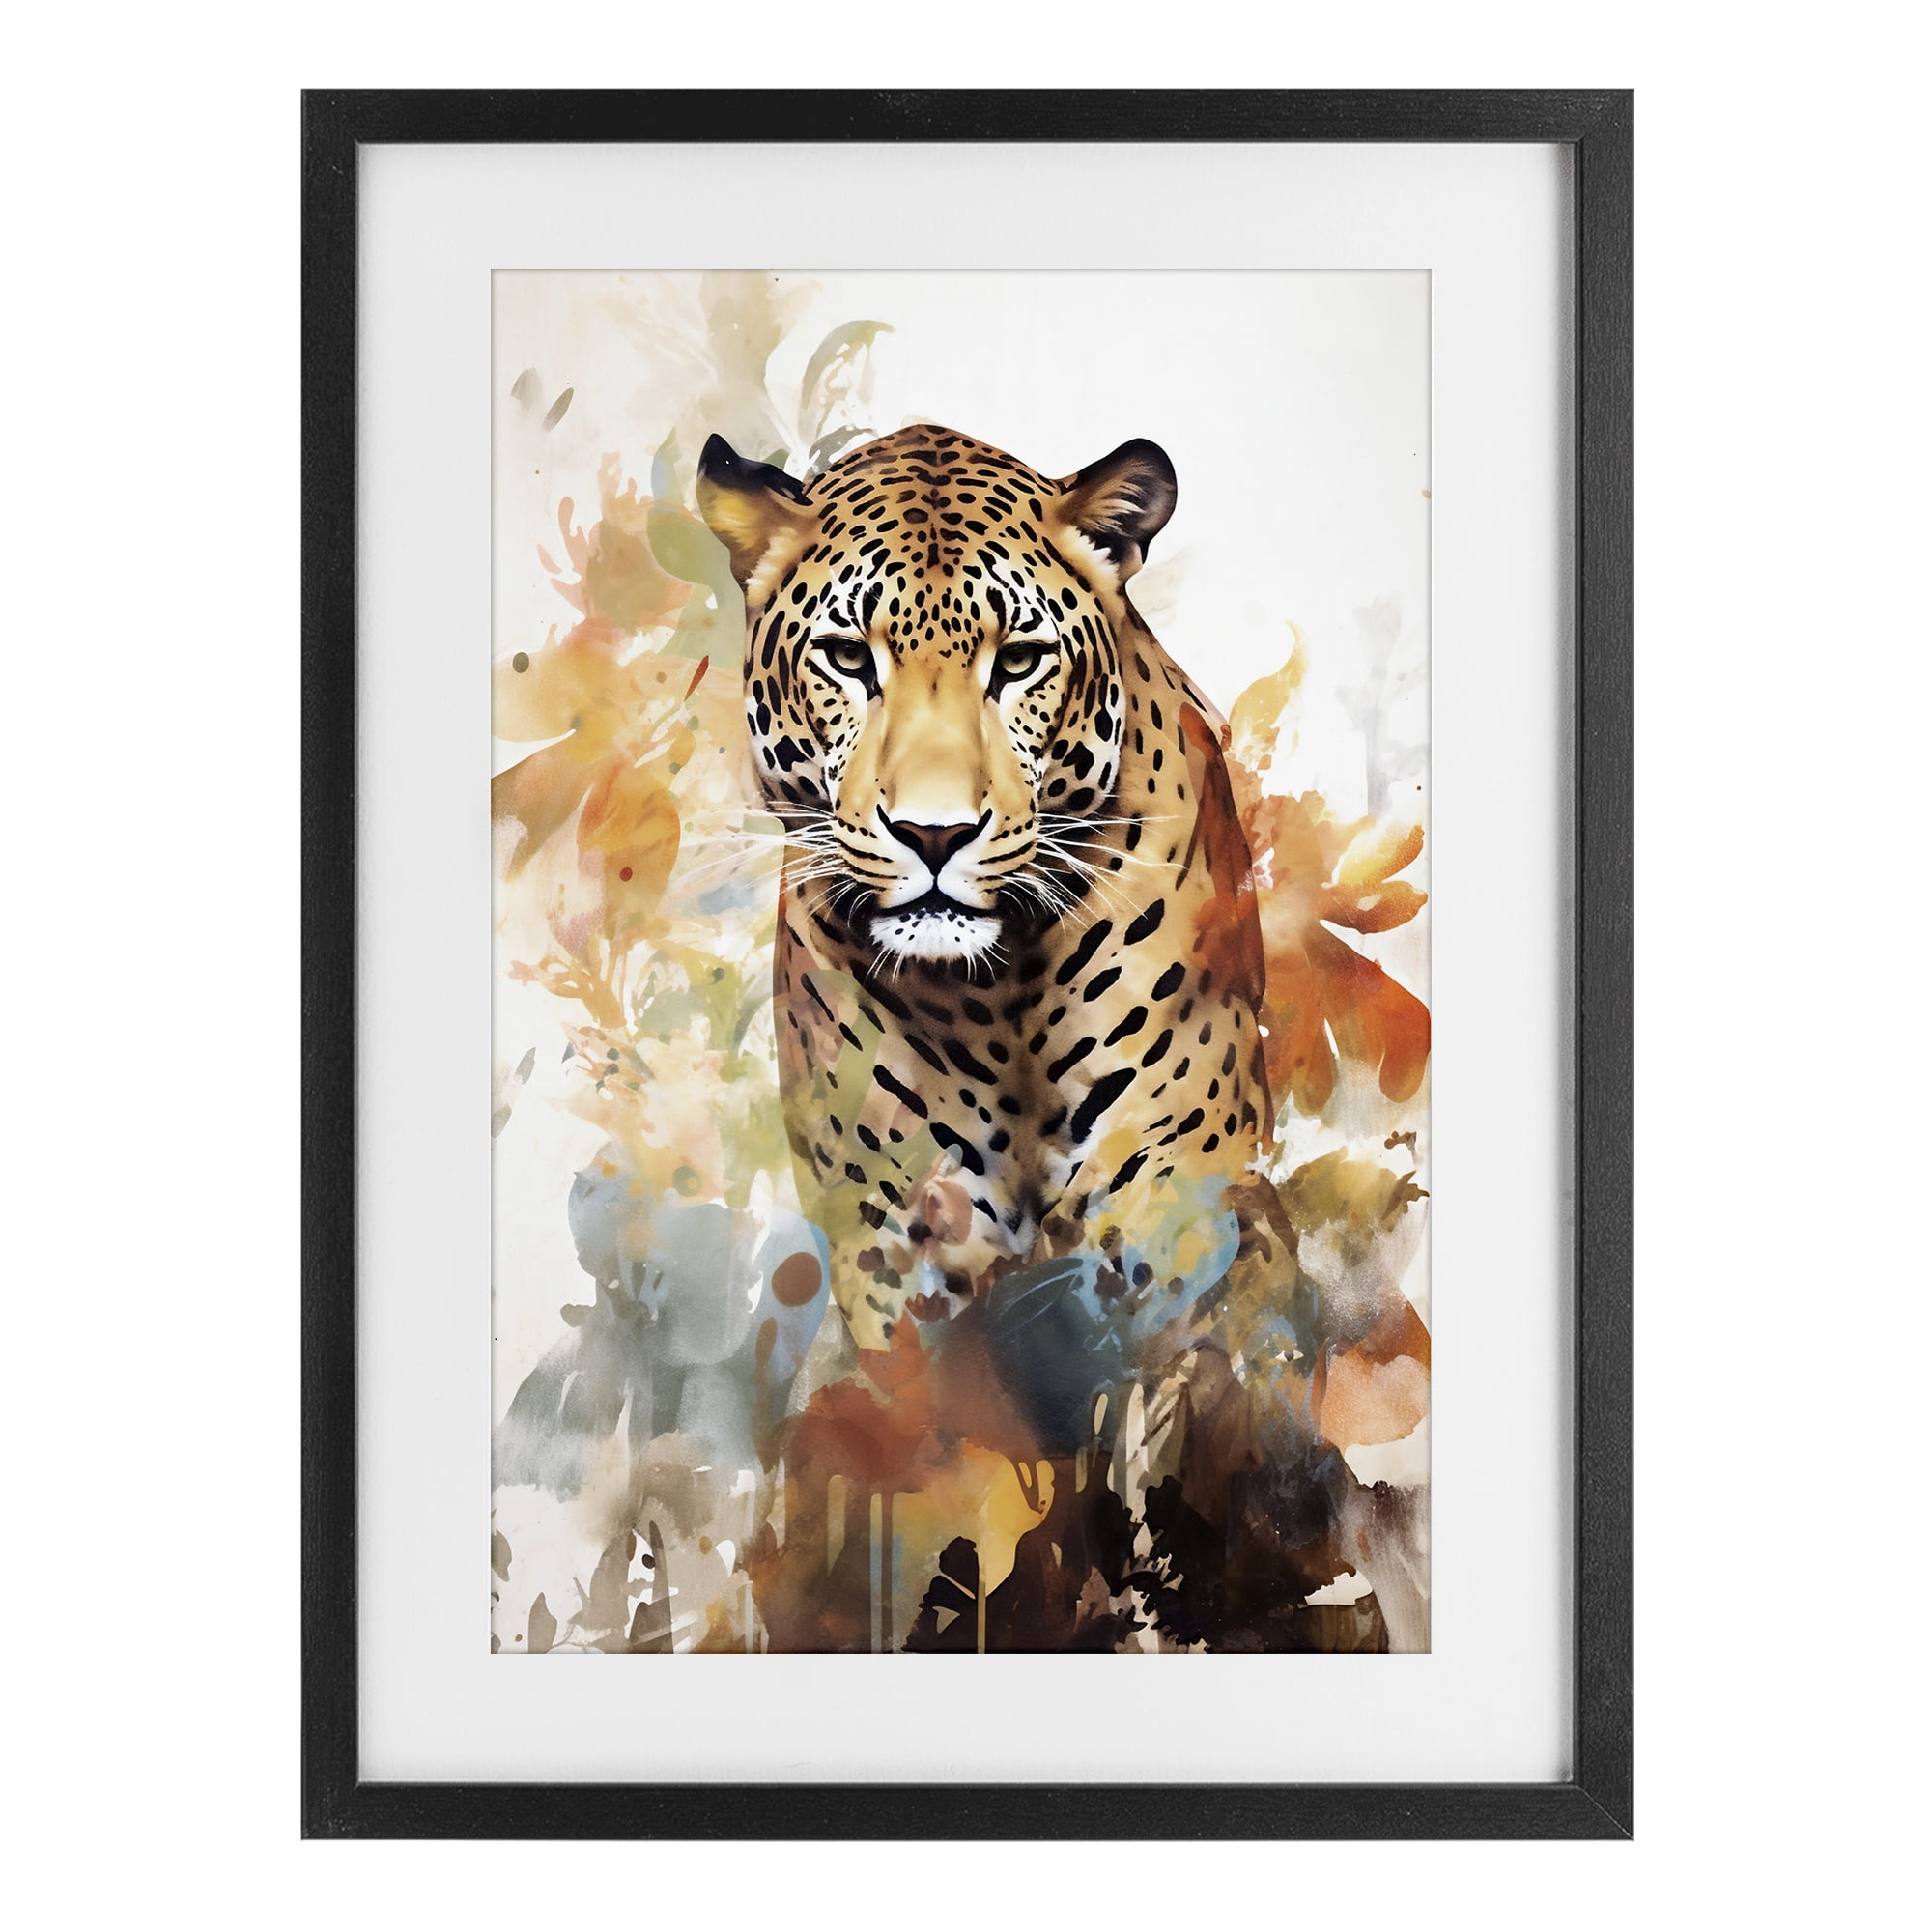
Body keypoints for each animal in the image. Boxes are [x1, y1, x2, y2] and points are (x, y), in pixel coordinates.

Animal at [698, 424, 1271, 1353]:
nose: (934, 834)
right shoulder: (890, 1239)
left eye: (1021, 662)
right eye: (848, 658)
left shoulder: (1178, 1189)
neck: (996, 999)